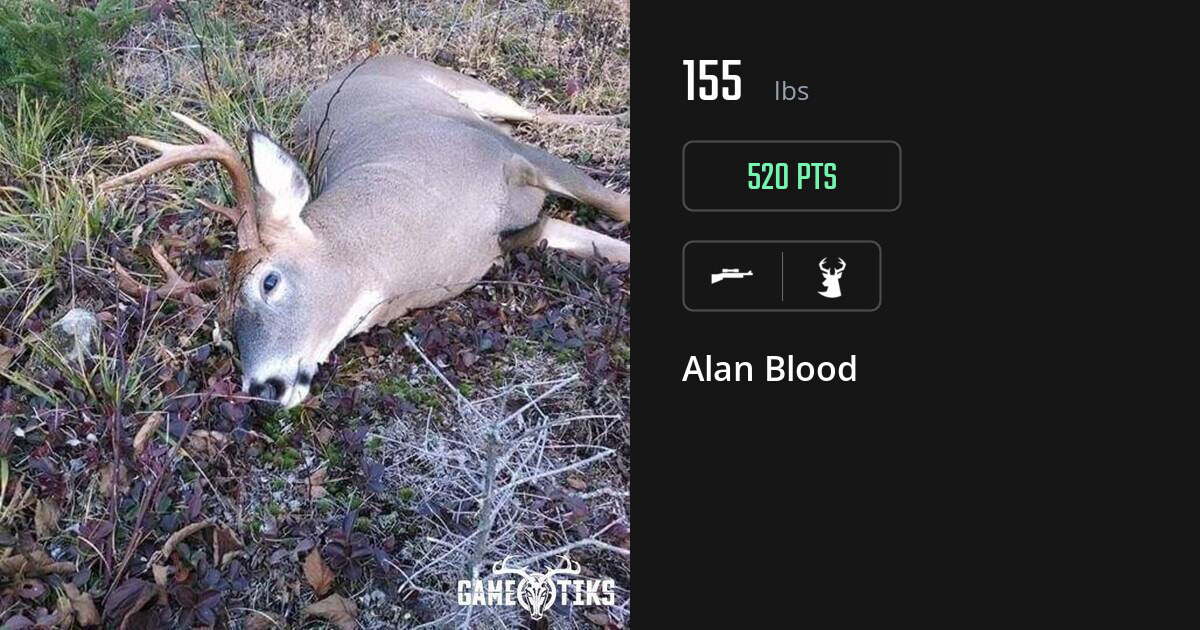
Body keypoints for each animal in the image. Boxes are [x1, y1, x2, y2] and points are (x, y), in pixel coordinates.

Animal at [101, 56, 630, 408]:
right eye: (223, 328)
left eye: (269, 281)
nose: (262, 389)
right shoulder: (521, 233)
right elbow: (612, 246)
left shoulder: (514, 158)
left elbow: (617, 205)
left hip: (471, 93)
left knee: (534, 113)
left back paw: (617, 117)